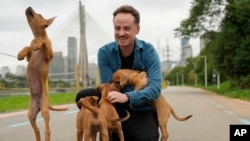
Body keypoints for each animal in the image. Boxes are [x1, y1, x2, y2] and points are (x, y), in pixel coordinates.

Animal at [16, 6, 68, 141]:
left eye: (39, 14)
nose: (28, 7)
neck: (37, 36)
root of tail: (39, 105)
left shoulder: (50, 56)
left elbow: (44, 44)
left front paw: (39, 44)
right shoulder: (29, 57)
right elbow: (28, 47)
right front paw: (21, 53)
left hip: (45, 111)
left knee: (47, 130)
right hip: (30, 114)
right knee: (37, 130)